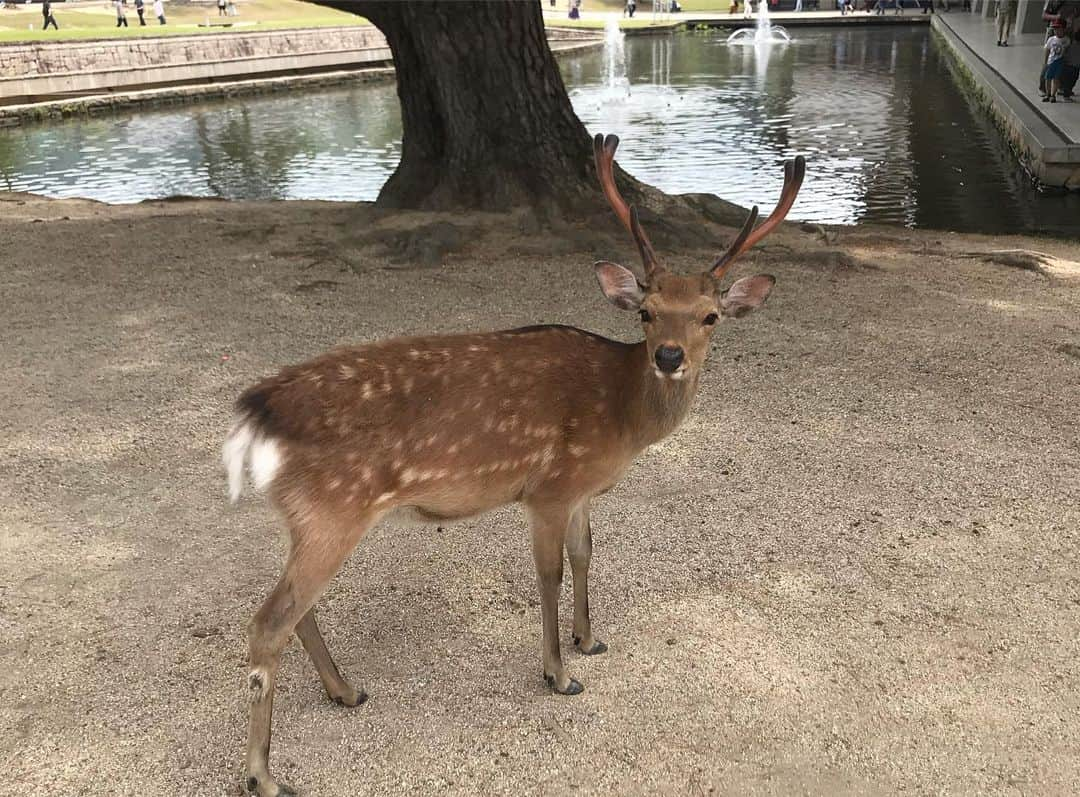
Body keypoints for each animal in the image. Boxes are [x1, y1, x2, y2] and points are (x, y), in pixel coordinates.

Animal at [225, 133, 803, 790]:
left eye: (710, 315)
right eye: (646, 311)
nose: (669, 356)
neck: (621, 417)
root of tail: (256, 411)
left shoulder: (580, 490)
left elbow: (585, 553)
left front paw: (589, 640)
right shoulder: (550, 486)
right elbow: (548, 573)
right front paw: (560, 675)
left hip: (306, 517)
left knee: (296, 610)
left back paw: (345, 692)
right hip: (332, 509)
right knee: (268, 621)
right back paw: (264, 775)